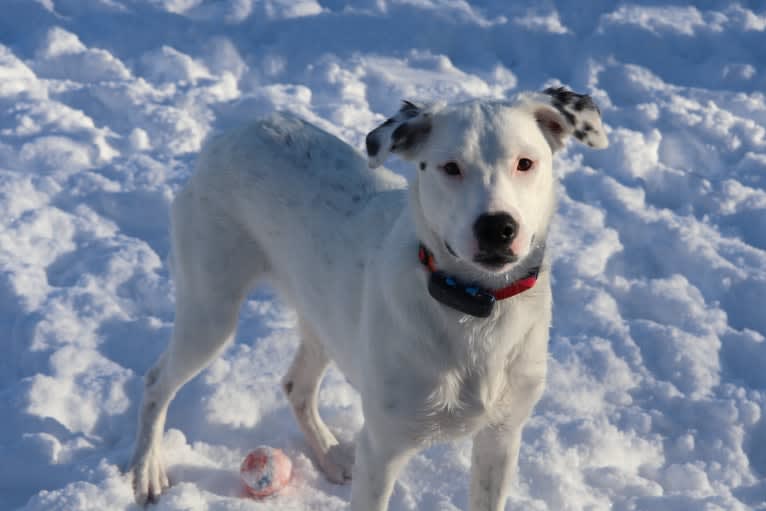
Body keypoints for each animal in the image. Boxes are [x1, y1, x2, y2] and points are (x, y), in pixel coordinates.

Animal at [129, 86, 608, 510]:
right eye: (450, 167)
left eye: (526, 163)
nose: (497, 227)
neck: (476, 307)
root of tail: (232, 133)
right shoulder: (382, 449)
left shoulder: (501, 438)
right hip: (211, 309)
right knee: (156, 381)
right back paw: (146, 471)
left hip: (323, 316)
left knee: (296, 385)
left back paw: (327, 452)